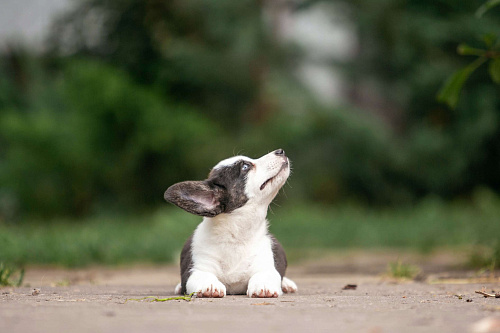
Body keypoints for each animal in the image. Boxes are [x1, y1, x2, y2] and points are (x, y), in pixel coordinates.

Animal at [164, 149, 296, 296]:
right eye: (245, 167)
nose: (280, 151)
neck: (237, 234)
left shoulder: (266, 266)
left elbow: (265, 275)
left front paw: (263, 286)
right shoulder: (196, 269)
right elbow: (203, 276)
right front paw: (210, 286)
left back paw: (287, 284)